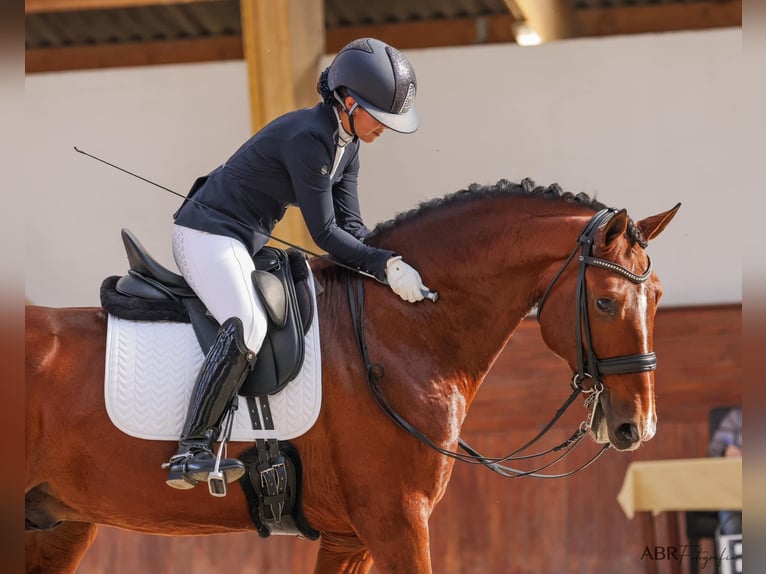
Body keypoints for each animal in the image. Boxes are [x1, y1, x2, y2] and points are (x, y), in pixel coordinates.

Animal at [27, 178, 680, 572]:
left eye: (656, 299)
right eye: (605, 303)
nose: (637, 428)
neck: (401, 330)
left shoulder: (352, 535)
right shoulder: (397, 521)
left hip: (57, 523)